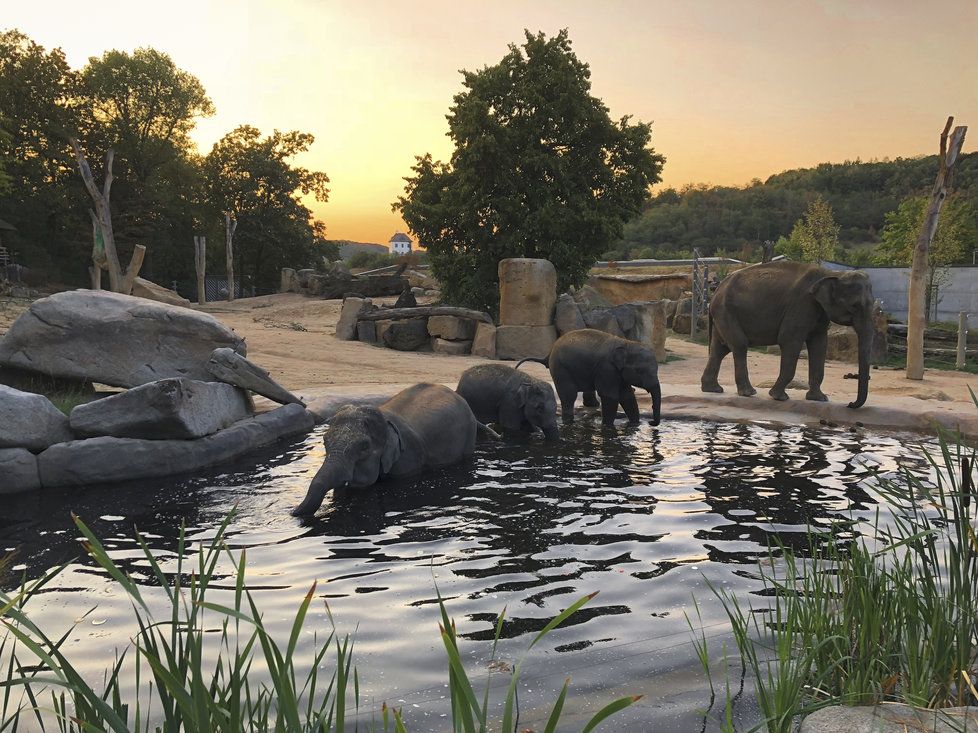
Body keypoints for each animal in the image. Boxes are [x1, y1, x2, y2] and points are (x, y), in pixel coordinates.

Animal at [294, 384, 476, 516]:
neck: (385, 420)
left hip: (469, 433)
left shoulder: (407, 459)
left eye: (364, 447)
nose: (292, 512)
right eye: (325, 442)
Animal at [516, 328, 660, 426]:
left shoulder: (618, 373)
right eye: (640, 371)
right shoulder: (606, 369)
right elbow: (610, 396)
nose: (651, 423)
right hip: (560, 369)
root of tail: (549, 352)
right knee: (569, 396)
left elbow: (627, 395)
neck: (626, 343)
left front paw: (635, 425)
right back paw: (569, 421)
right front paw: (607, 426)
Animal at [700, 258, 876, 406]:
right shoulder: (802, 304)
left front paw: (819, 399)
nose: (850, 404)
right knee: (739, 345)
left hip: (724, 314)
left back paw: (713, 389)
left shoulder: (820, 311)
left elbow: (819, 345)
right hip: (726, 311)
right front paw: (779, 397)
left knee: (720, 349)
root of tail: (716, 290)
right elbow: (790, 341)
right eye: (854, 306)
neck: (832, 274)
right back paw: (748, 393)